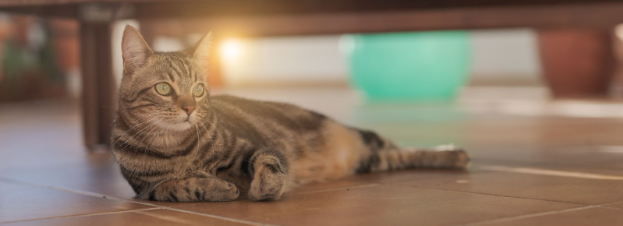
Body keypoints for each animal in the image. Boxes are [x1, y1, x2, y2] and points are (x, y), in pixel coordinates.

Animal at [112, 25, 470, 202]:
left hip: (364, 138)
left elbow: (270, 165)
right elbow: (178, 186)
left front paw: (262, 189)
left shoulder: (255, 148)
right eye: (163, 89)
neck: (176, 148)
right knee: (397, 155)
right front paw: (216, 187)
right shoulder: (146, 190)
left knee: (404, 147)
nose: (190, 108)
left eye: (198, 89)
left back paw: (454, 154)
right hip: (371, 159)